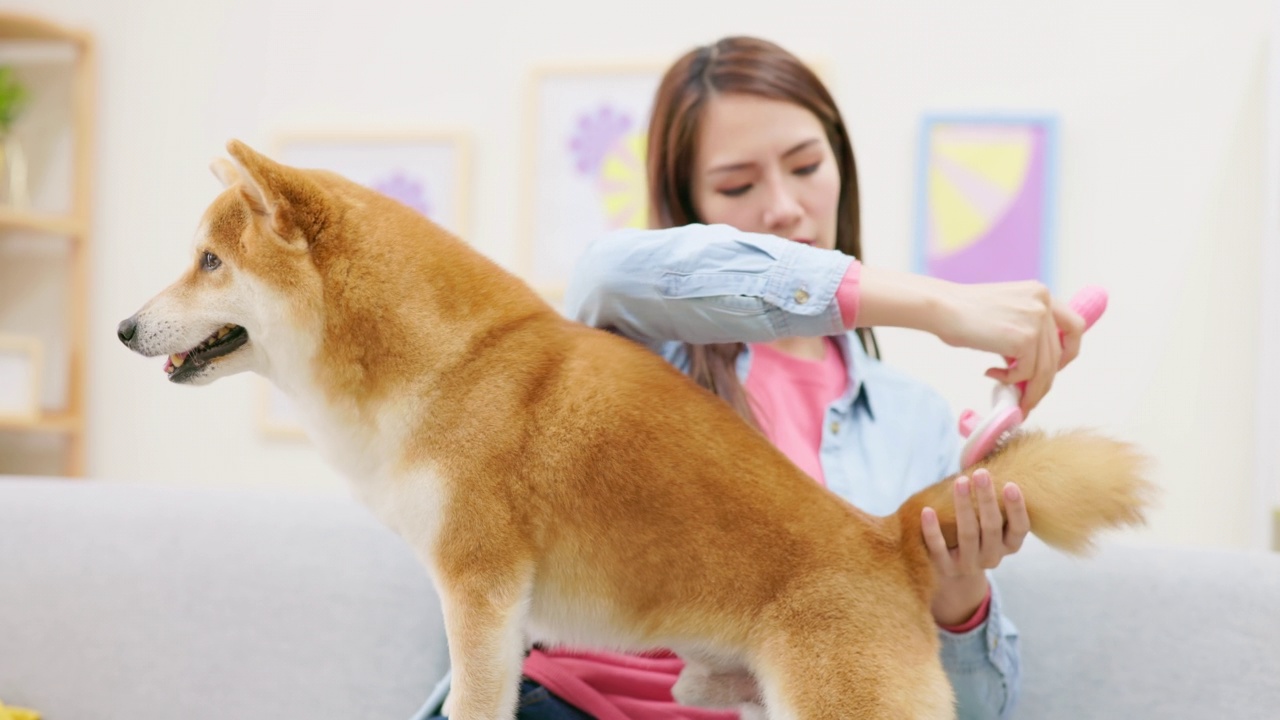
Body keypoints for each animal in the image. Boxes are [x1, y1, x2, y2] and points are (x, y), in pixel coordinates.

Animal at [120, 141, 1157, 717]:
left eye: (208, 262)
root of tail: (883, 533)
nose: (126, 327)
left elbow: (474, 699)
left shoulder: (481, 590)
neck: (448, 363)